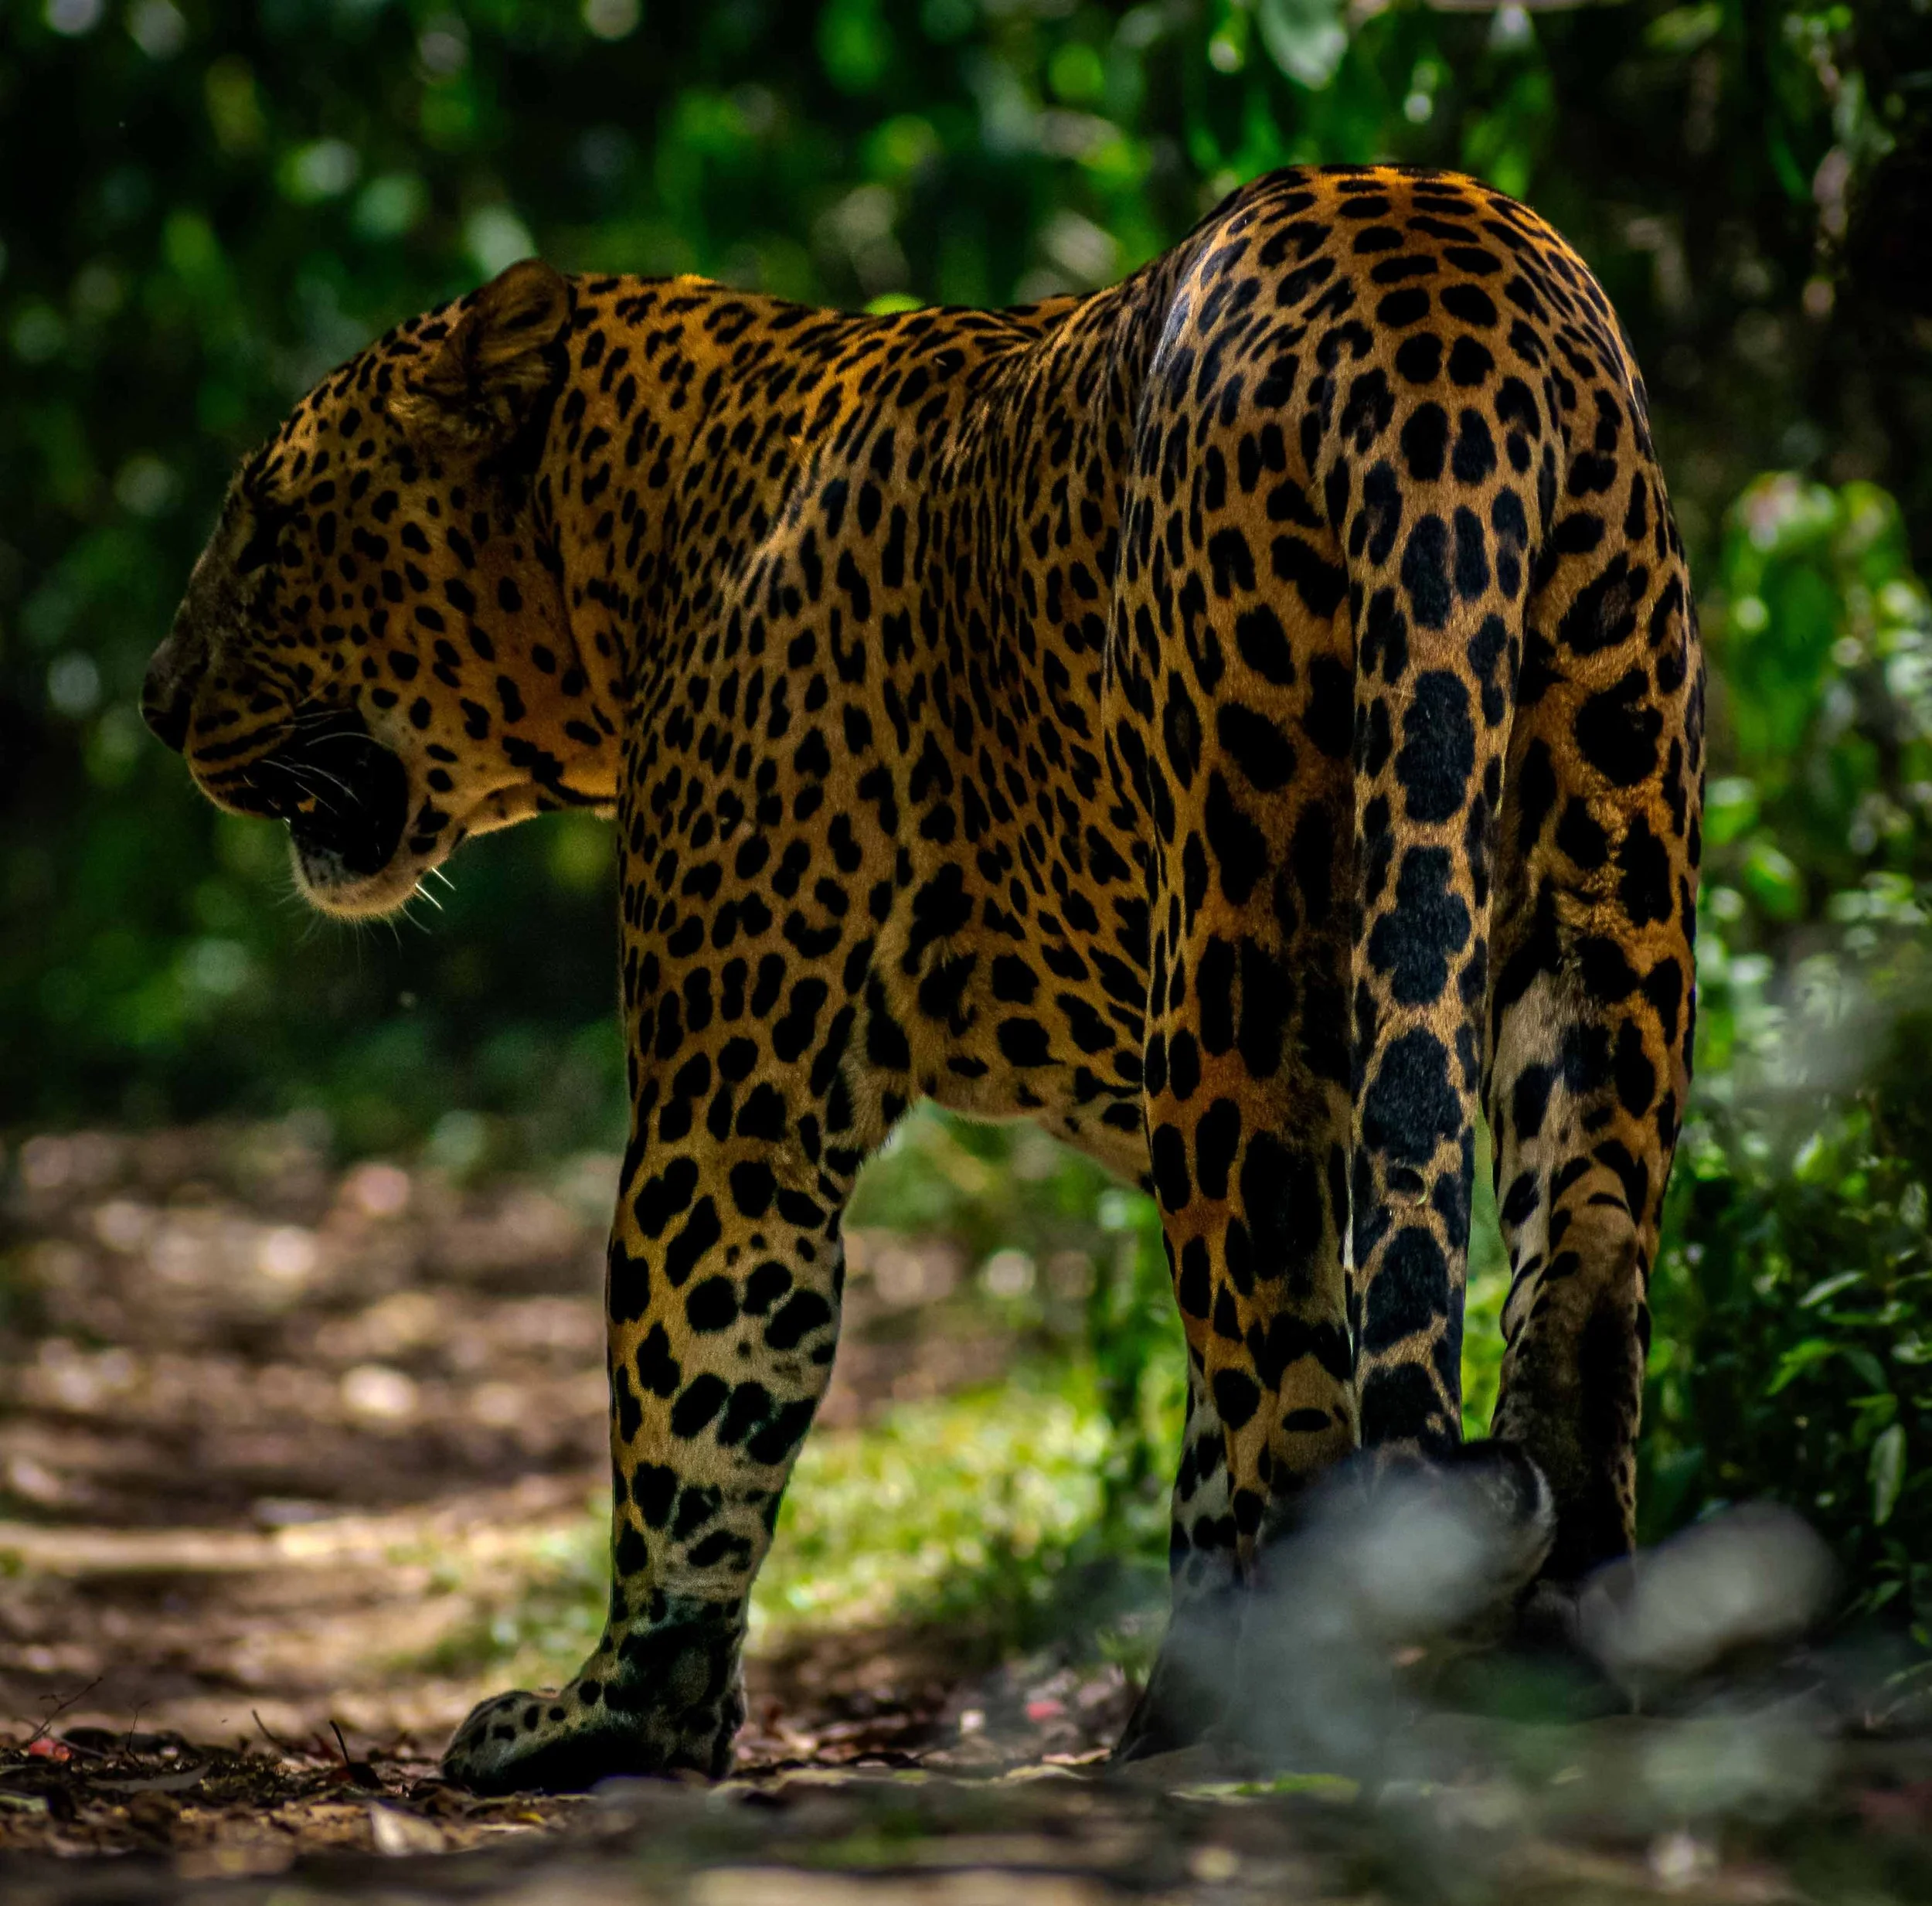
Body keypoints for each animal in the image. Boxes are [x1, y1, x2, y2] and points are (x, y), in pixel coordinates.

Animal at [142, 165, 1703, 1793]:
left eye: (272, 533)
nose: (155, 702)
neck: (625, 540)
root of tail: (1429, 268)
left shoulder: (735, 1102)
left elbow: (694, 1391)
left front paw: (614, 1716)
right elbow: (1201, 1457)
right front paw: (1189, 1694)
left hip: (1246, 946)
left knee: (1288, 1345)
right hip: (1606, 887)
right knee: (1577, 1280)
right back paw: (1543, 1680)